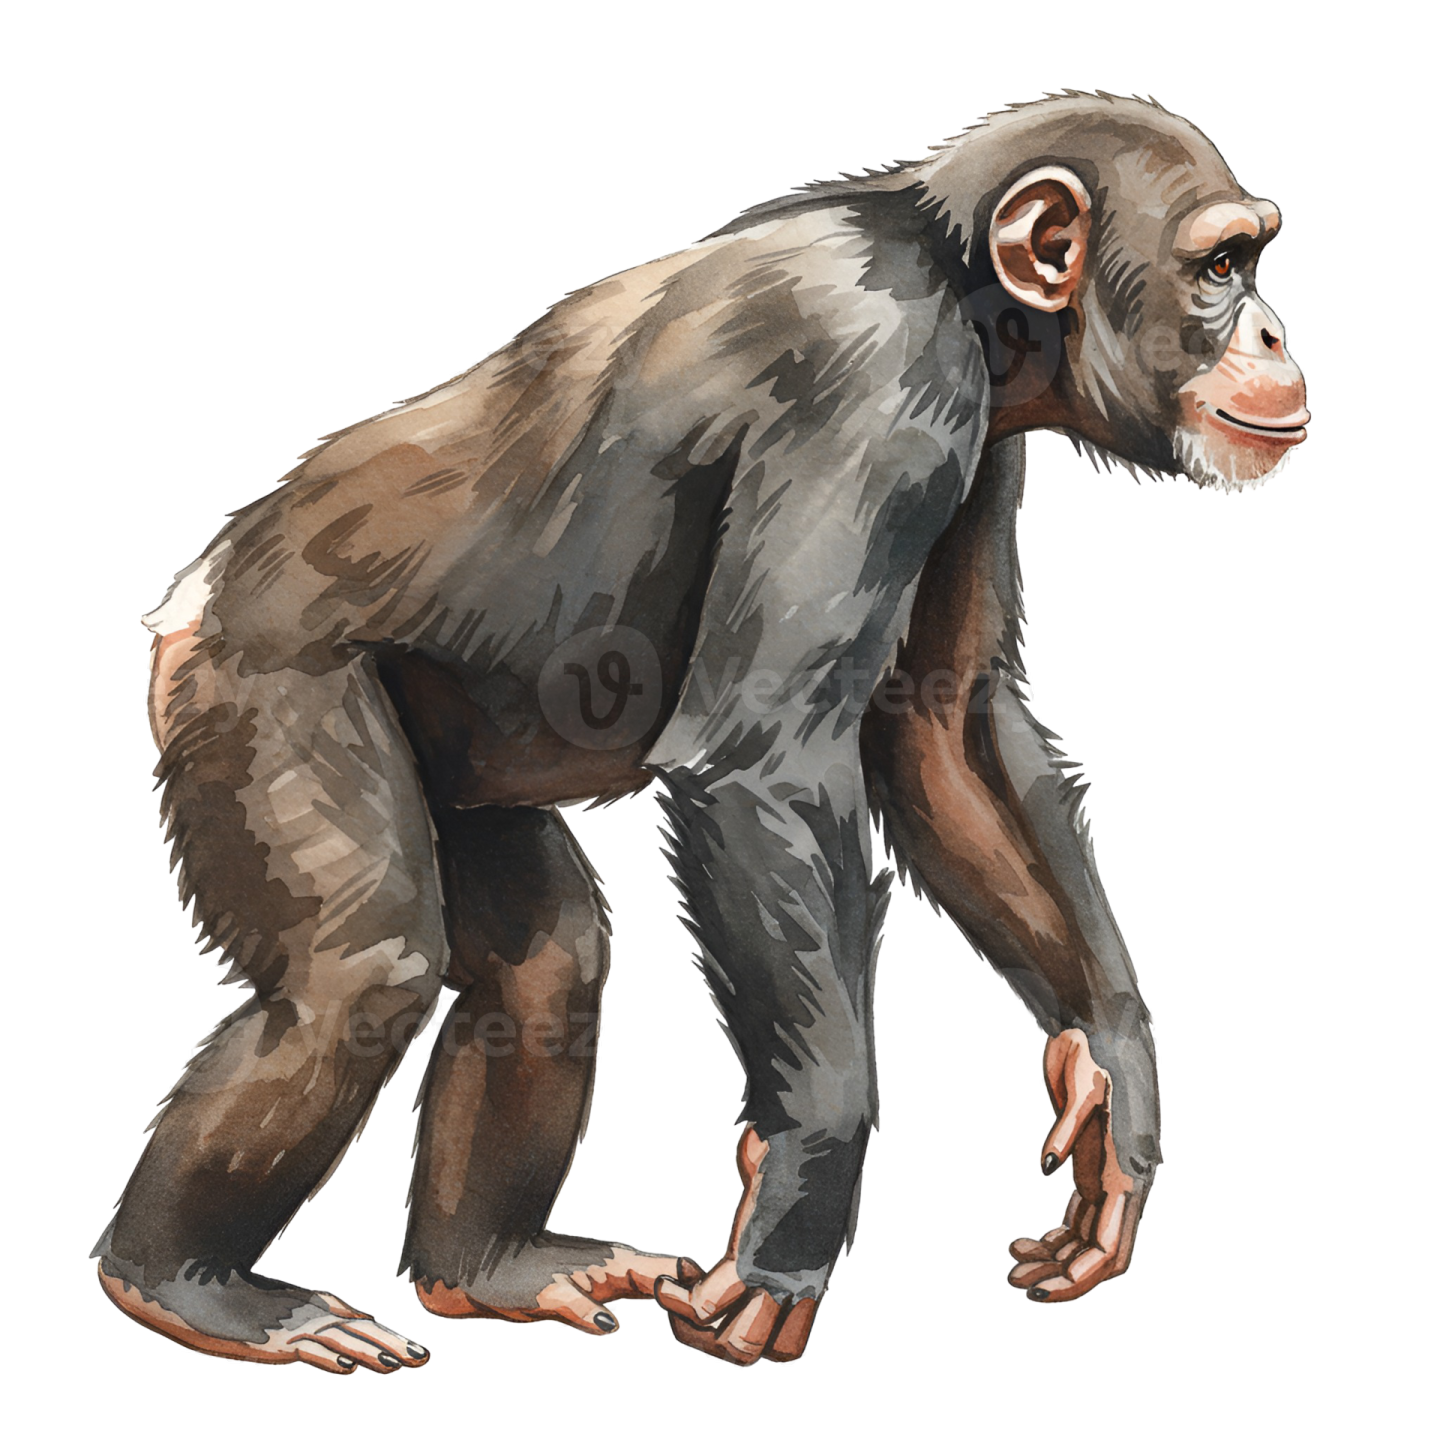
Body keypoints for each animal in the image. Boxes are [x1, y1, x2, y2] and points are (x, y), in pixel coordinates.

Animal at [94, 92, 1307, 1375]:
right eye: (1219, 267)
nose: (1280, 338)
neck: (963, 284)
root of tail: (194, 593)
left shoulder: (983, 455)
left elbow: (948, 728)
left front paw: (1112, 1082)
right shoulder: (875, 385)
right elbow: (763, 763)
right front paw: (798, 1203)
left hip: (454, 761)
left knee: (548, 959)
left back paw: (487, 1268)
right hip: (257, 680)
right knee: (357, 970)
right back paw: (182, 1286)